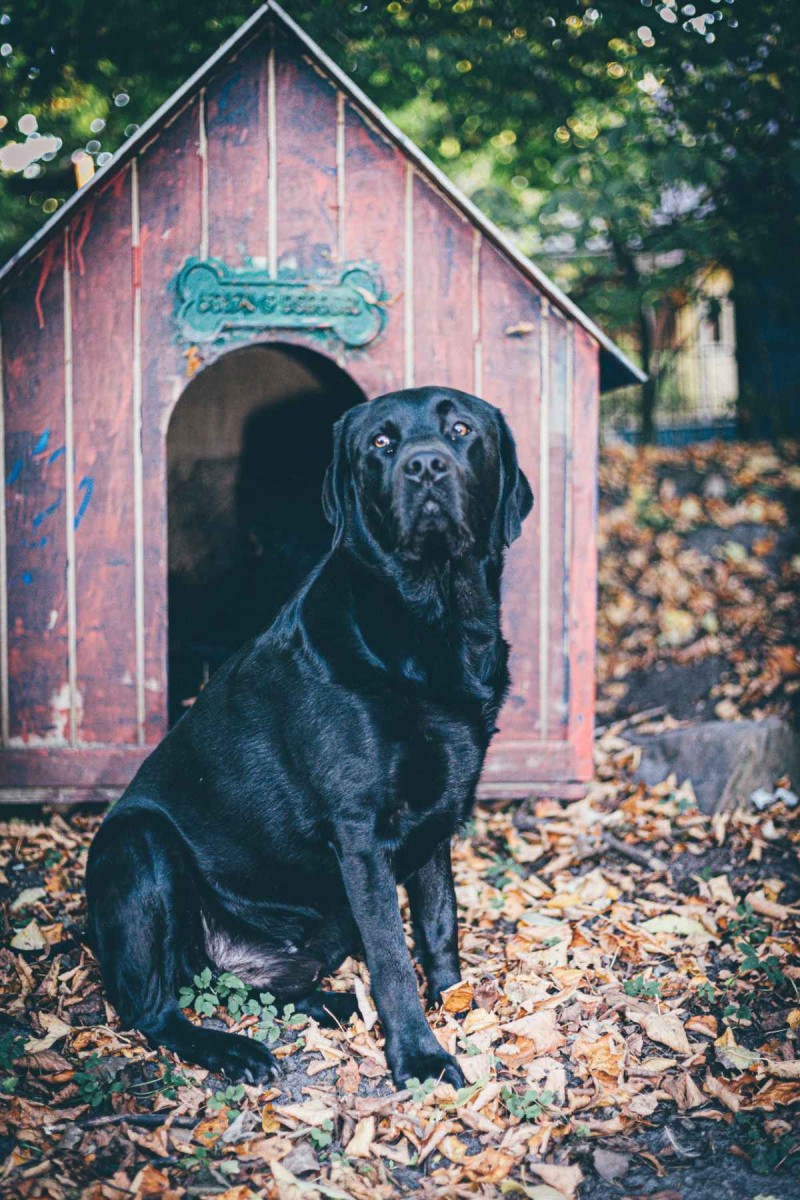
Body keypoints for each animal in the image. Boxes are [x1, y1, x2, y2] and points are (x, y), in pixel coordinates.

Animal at [86, 384, 532, 1089]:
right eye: (381, 442)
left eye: (461, 430)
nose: (425, 466)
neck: (433, 622)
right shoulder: (360, 832)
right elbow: (392, 956)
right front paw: (421, 1057)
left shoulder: (437, 821)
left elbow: (440, 923)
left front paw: (454, 1001)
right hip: (138, 843)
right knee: (152, 1010)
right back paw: (233, 1050)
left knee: (269, 990)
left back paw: (335, 1003)